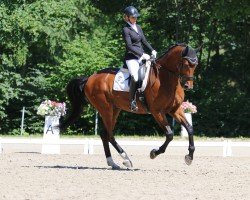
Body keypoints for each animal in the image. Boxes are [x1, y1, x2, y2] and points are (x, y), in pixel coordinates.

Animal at [60, 43, 199, 169]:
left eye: (195, 65)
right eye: (186, 64)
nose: (188, 86)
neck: (165, 77)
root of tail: (89, 78)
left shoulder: (174, 109)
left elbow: (190, 128)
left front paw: (189, 157)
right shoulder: (157, 111)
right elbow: (169, 134)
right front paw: (154, 153)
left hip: (114, 109)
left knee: (105, 134)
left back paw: (113, 163)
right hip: (105, 109)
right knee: (109, 135)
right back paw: (126, 159)